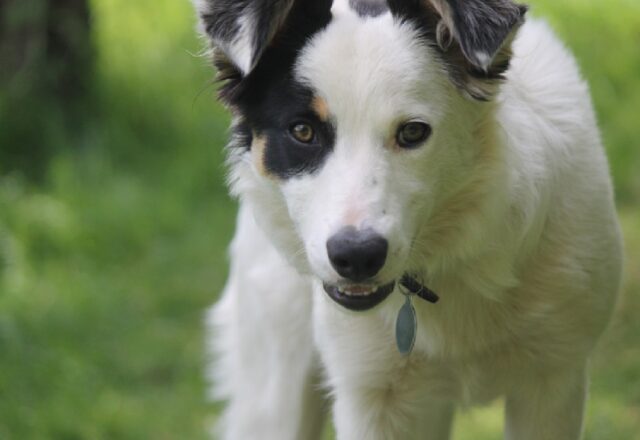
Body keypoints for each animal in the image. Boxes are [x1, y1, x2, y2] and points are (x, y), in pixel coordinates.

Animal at [192, 1, 624, 438]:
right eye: (302, 131)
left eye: (413, 132)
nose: (356, 257)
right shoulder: (372, 394)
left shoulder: (554, 376)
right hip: (275, 380)